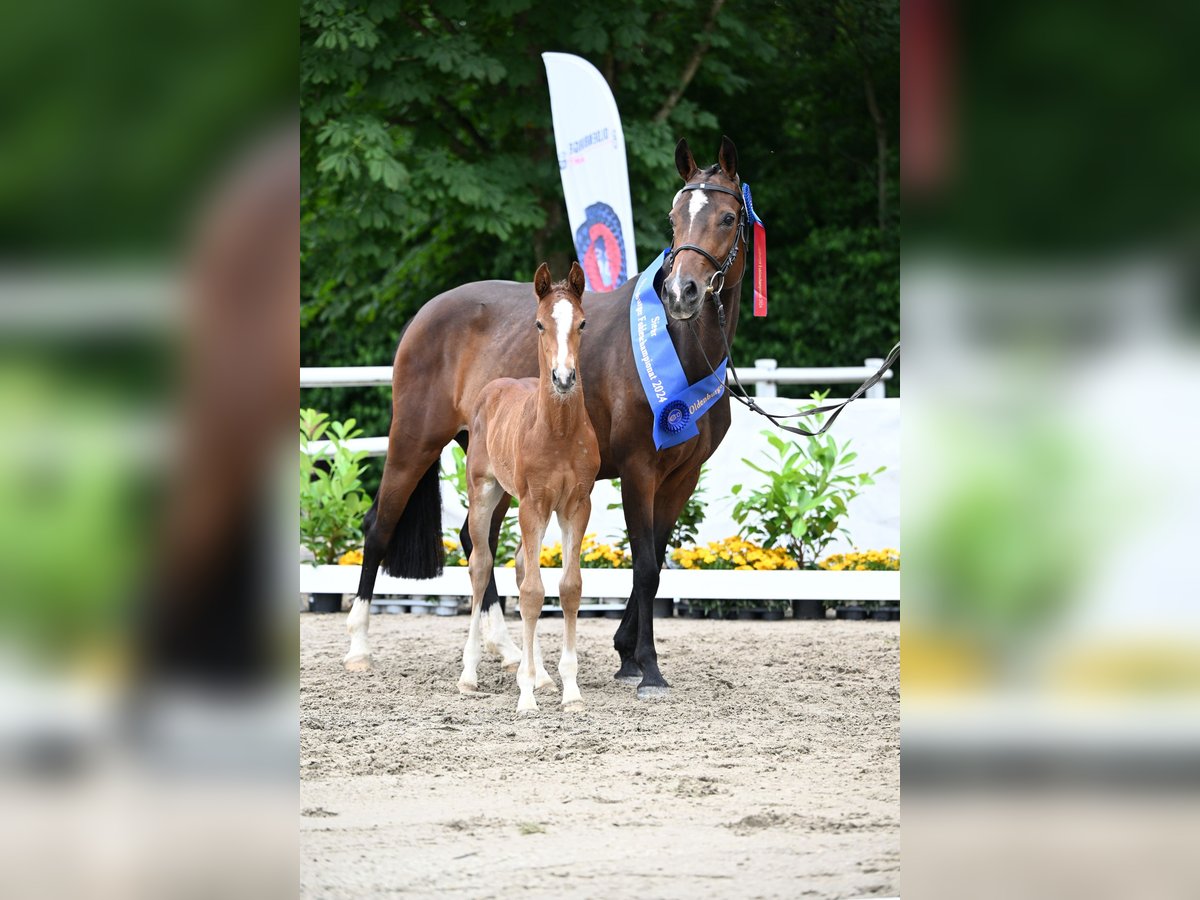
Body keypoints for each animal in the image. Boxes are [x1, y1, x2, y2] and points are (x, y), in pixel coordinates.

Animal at [453, 264, 600, 715]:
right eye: (539, 323)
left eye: (582, 323)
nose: (564, 378)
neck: (558, 431)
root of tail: (492, 386)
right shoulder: (533, 504)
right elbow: (533, 593)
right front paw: (526, 696)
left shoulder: (575, 504)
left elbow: (569, 587)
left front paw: (569, 690)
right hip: (486, 494)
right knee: (481, 566)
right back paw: (469, 674)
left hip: (519, 502)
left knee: (519, 564)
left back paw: (542, 675)